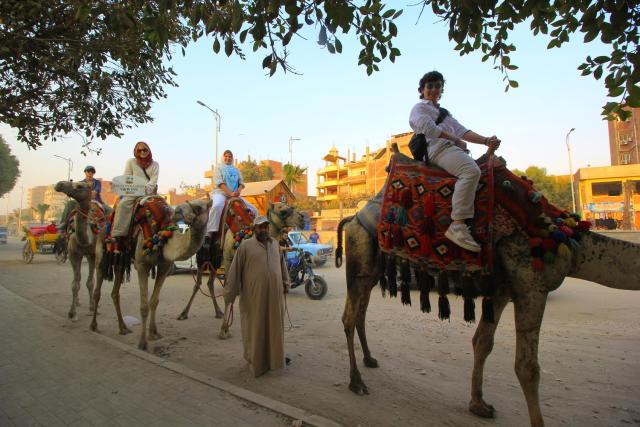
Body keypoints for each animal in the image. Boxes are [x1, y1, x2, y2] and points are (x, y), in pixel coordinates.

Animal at [55, 181, 110, 320]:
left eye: (80, 186)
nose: (60, 184)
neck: (86, 239)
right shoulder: (73, 254)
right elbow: (75, 283)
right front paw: (72, 313)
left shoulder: (93, 255)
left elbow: (90, 282)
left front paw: (92, 308)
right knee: (76, 280)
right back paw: (78, 301)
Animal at [90, 197, 212, 352]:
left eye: (199, 207)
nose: (178, 210)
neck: (163, 238)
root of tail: (103, 224)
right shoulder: (142, 265)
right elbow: (144, 306)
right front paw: (142, 343)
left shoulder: (164, 267)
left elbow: (154, 301)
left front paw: (153, 334)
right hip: (101, 253)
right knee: (97, 290)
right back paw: (94, 326)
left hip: (120, 262)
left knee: (115, 292)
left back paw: (123, 328)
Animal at [338, 150, 636, 427]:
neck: (570, 245)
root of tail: (352, 218)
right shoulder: (531, 285)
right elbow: (527, 367)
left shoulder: (504, 290)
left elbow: (482, 342)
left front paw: (478, 404)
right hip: (360, 259)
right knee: (349, 318)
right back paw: (356, 382)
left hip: (371, 270)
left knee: (361, 312)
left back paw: (369, 360)